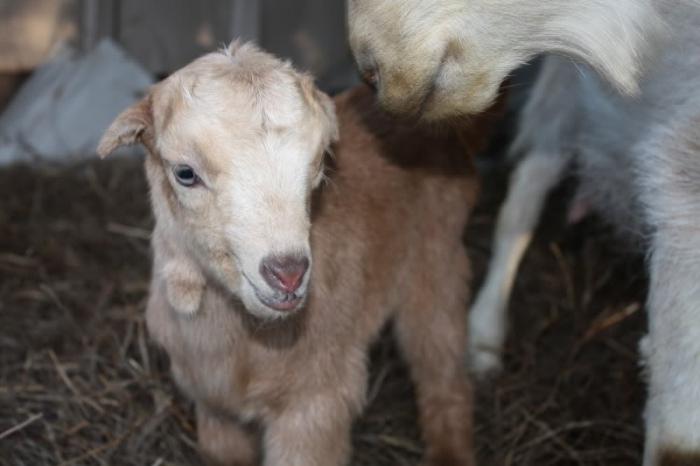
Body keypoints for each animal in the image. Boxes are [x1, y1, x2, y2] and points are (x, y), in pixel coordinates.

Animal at [97, 41, 486, 464]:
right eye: (185, 173)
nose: (288, 273)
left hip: (438, 260)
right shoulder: (216, 411)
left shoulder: (315, 405)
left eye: (317, 166)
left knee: (443, 372)